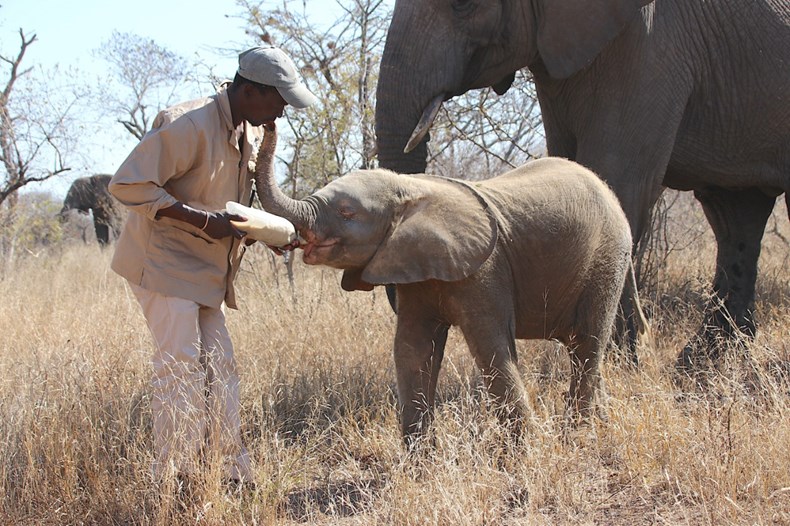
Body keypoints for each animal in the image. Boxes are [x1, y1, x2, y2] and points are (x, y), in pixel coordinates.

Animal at [256, 127, 636, 446]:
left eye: (347, 212)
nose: (266, 125)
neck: (410, 189)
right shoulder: (415, 273)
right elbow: (412, 350)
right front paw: (418, 460)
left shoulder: (485, 270)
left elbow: (490, 347)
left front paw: (526, 452)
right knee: (580, 347)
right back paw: (600, 426)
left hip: (608, 257)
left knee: (588, 341)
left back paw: (578, 435)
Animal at [376, 0, 790, 372]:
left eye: (462, 6)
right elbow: (569, 167)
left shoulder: (652, 45)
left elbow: (615, 178)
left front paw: (620, 365)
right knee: (737, 214)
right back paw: (703, 363)